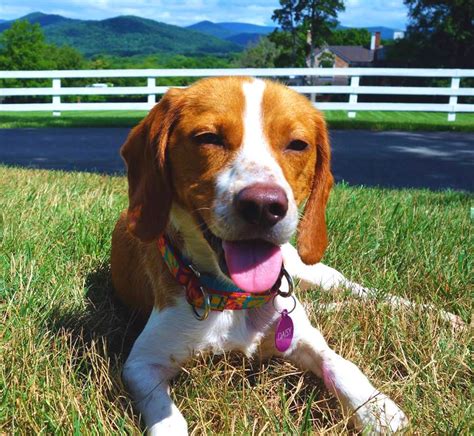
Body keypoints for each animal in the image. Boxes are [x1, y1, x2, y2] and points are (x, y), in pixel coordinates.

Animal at [110, 76, 408, 434]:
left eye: (298, 144)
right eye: (208, 138)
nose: (264, 205)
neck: (234, 298)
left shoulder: (305, 336)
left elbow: (339, 363)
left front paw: (377, 408)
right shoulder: (141, 364)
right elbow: (168, 419)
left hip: (313, 272)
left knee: (365, 293)